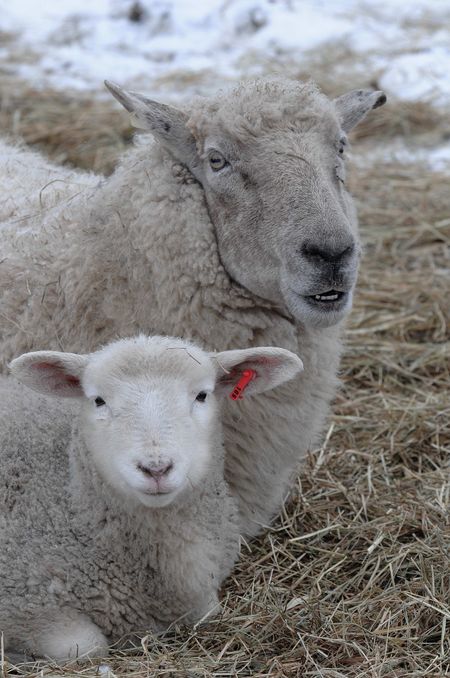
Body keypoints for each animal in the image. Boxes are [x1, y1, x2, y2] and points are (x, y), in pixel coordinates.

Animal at [1, 334, 302, 664]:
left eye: (202, 395)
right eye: (98, 400)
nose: (156, 468)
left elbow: (207, 612)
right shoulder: (23, 600)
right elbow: (86, 647)